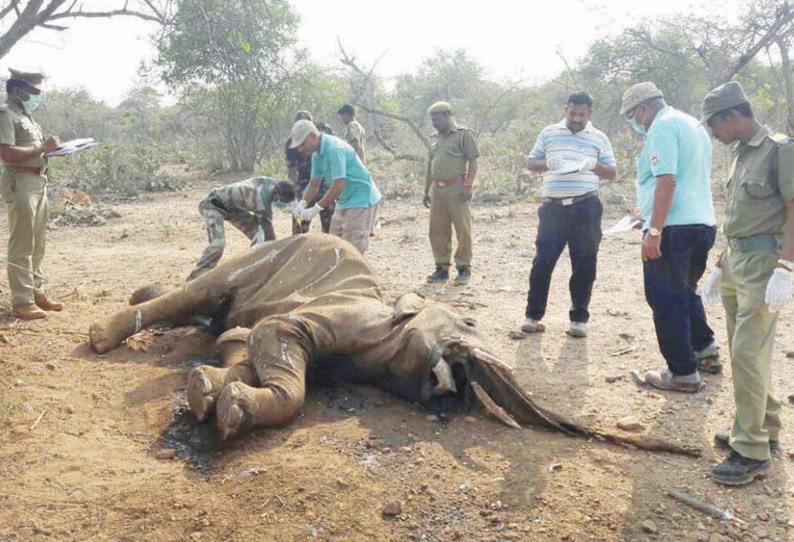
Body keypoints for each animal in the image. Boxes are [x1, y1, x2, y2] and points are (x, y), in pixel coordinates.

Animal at [85, 236, 692, 456]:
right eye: (468, 323)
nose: (455, 391)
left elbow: (242, 345)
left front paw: (213, 396)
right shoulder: (347, 320)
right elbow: (275, 338)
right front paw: (223, 406)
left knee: (210, 314)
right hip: (262, 257)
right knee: (202, 291)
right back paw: (100, 337)